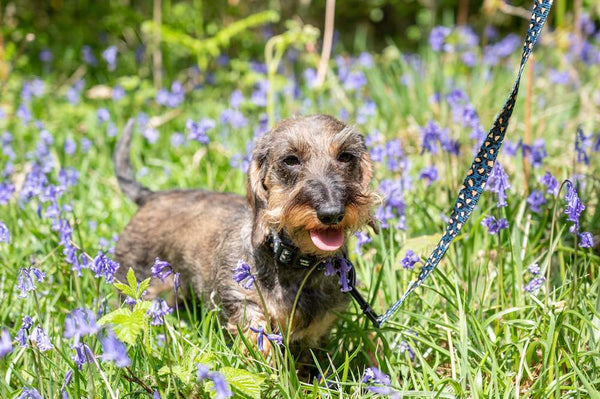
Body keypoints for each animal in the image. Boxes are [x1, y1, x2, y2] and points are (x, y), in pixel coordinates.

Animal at [113, 115, 376, 356]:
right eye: (291, 160)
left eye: (346, 156)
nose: (331, 212)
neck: (292, 262)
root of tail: (150, 196)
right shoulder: (244, 304)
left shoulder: (316, 331)